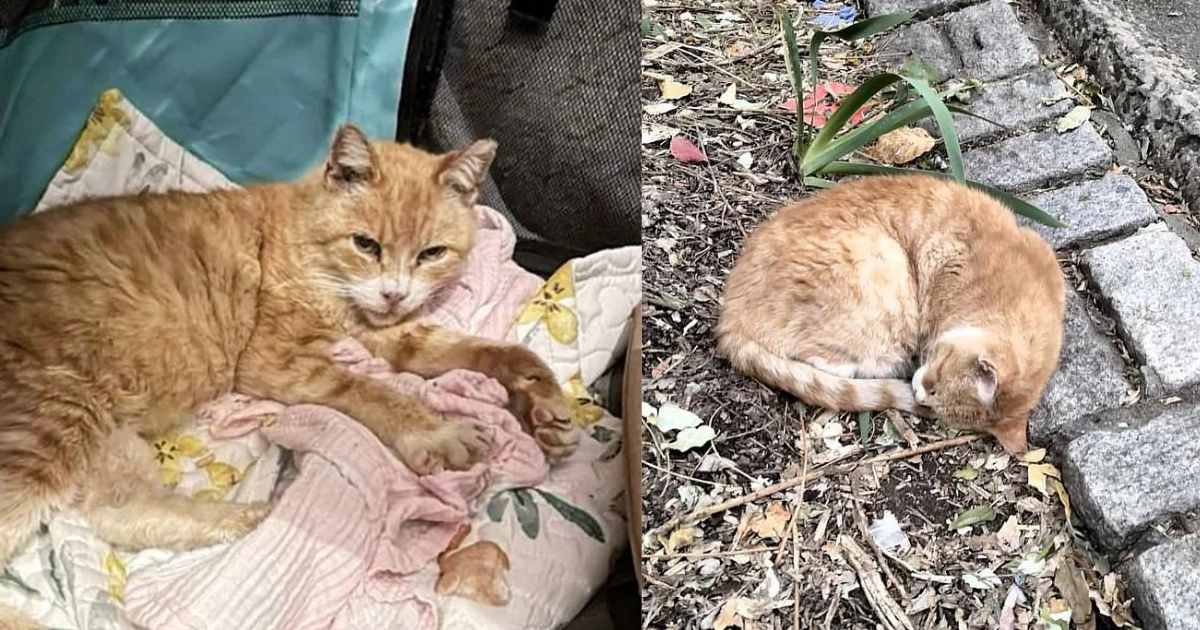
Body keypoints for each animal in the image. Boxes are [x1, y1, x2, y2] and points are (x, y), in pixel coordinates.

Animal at [0, 124, 576, 595]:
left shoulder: (392, 332)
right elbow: (372, 390)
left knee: (117, 512)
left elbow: (486, 350)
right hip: (53, 422)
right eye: (365, 244)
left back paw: (248, 516)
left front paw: (544, 407)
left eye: (431, 253)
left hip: (104, 435)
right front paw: (436, 430)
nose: (393, 293)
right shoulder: (272, 361)